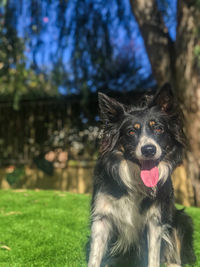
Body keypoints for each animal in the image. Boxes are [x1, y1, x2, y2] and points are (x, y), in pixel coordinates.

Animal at [88, 83, 196, 266]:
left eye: (159, 128)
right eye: (131, 132)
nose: (149, 150)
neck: (135, 178)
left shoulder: (155, 219)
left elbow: (153, 255)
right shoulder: (102, 216)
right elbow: (95, 256)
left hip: (182, 219)